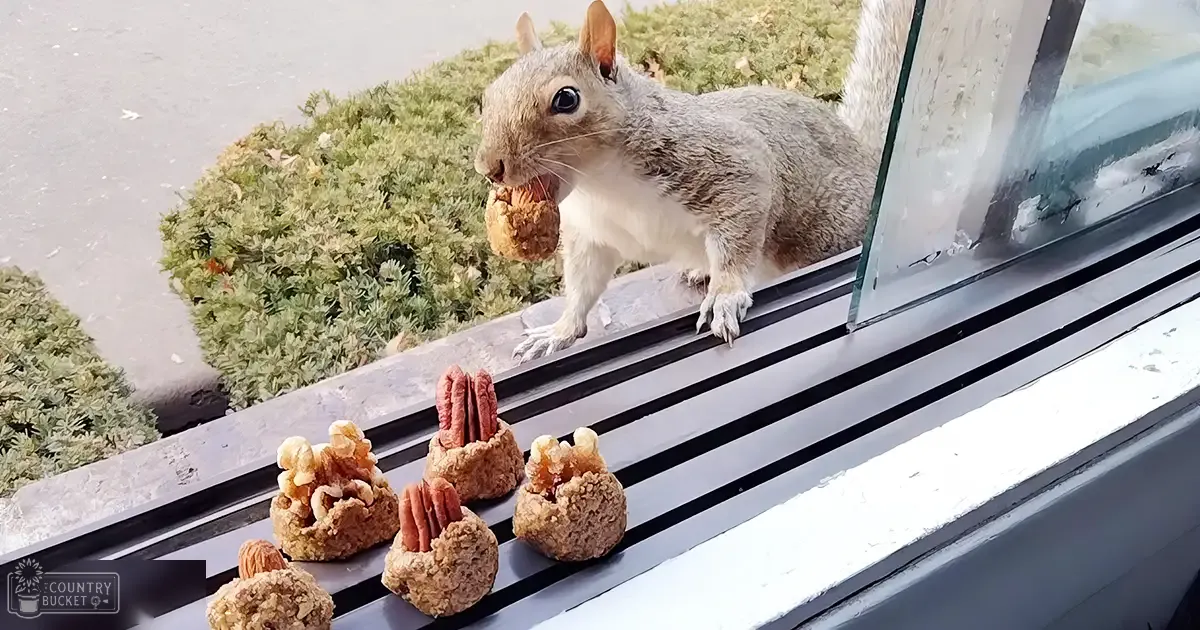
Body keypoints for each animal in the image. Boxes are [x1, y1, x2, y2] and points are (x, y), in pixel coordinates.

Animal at [476, 0, 915, 363]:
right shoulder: (593, 235)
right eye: (489, 94)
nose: (489, 167)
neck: (601, 185)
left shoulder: (733, 168)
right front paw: (558, 332)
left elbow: (739, 238)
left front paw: (725, 295)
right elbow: (584, 287)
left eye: (566, 99)